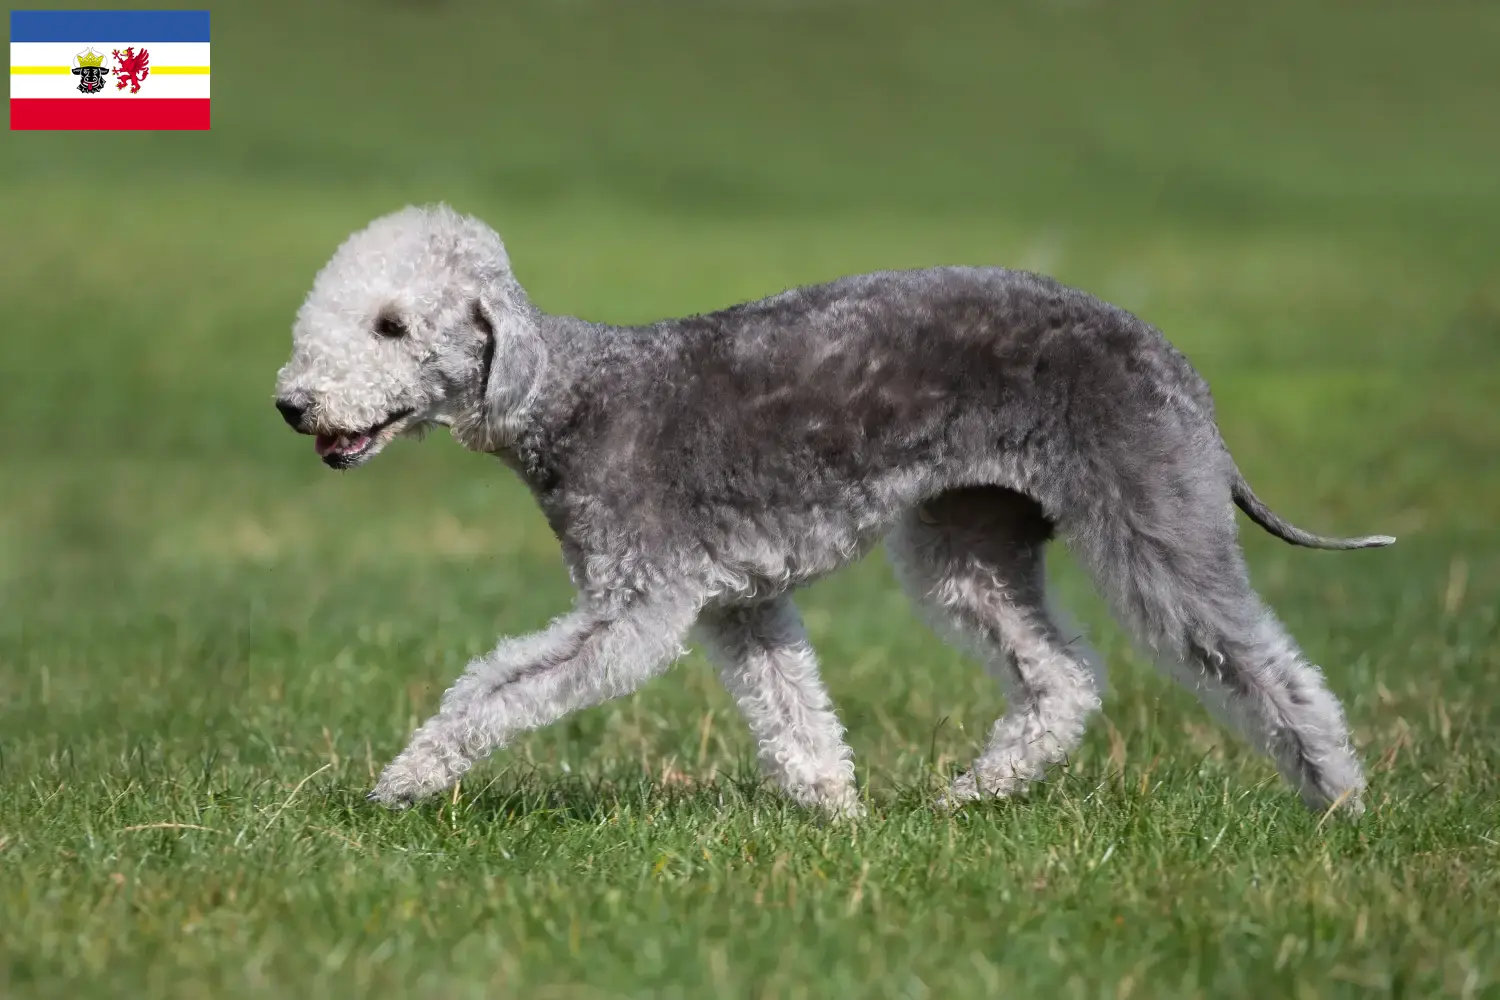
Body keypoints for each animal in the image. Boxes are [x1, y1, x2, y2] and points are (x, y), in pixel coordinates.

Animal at [273, 205, 1392, 821]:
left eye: (391, 325)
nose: (293, 405)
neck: (569, 397)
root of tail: (1180, 369)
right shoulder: (739, 601)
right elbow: (792, 708)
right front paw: (837, 812)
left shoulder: (634, 607)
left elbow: (495, 687)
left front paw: (408, 779)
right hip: (965, 542)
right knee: (1064, 675)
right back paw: (975, 792)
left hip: (1156, 521)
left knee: (1266, 664)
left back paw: (1341, 800)